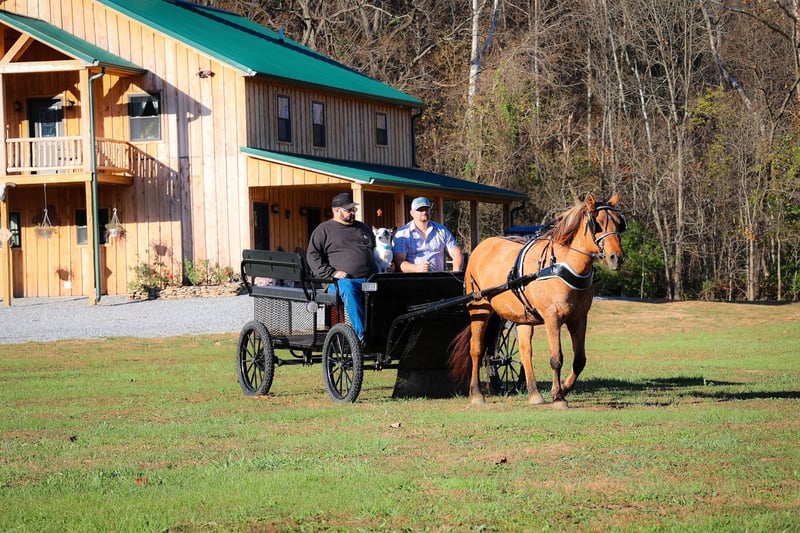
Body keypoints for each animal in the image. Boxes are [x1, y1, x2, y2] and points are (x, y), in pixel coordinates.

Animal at [448, 193, 626, 408]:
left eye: (618, 223)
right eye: (597, 224)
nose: (616, 257)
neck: (563, 265)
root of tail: (481, 247)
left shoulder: (579, 319)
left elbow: (579, 360)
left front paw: (564, 387)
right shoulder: (552, 318)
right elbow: (556, 358)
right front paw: (558, 396)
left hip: (522, 316)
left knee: (525, 351)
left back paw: (534, 394)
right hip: (479, 309)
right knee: (476, 349)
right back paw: (476, 394)